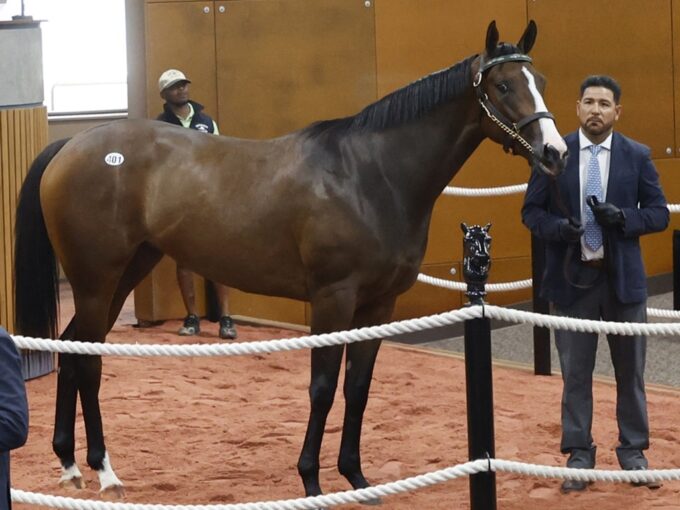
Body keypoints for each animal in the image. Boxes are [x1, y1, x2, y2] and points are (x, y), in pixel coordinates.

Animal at [14, 20, 568, 502]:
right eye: (502, 85)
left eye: (540, 81)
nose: (555, 153)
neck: (371, 175)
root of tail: (72, 144)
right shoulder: (332, 300)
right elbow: (322, 387)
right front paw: (311, 480)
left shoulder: (379, 305)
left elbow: (358, 387)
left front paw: (357, 478)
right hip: (96, 280)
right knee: (86, 360)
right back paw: (105, 472)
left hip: (125, 273)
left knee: (74, 349)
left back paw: (70, 465)